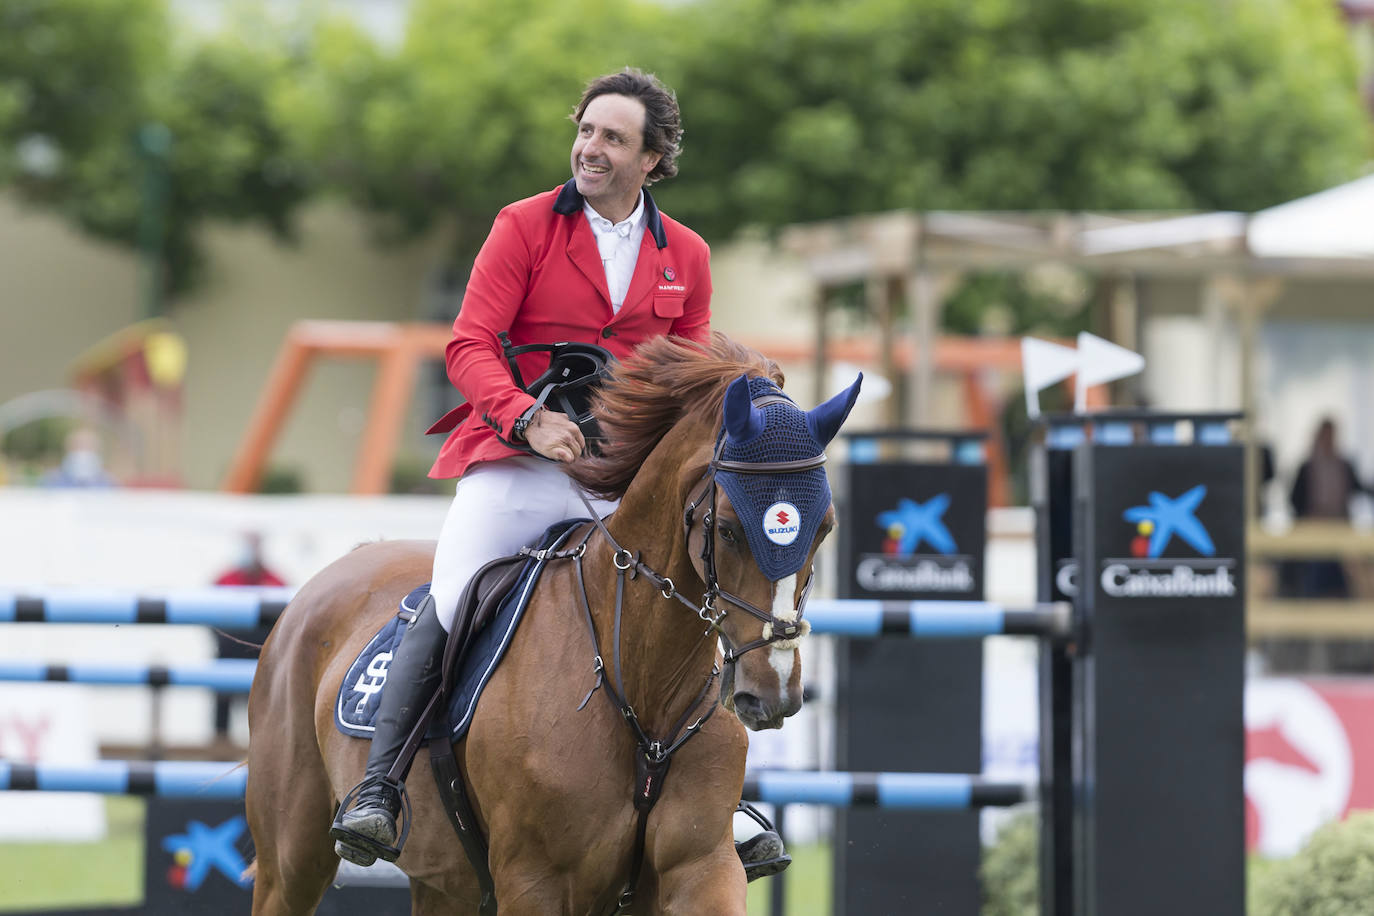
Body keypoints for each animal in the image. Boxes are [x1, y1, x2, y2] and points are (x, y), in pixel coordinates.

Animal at [241, 333, 851, 911]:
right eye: (726, 529)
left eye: (825, 527)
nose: (771, 695)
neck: (642, 694)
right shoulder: (535, 882)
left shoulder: (703, 869)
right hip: (291, 861)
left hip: (443, 883)